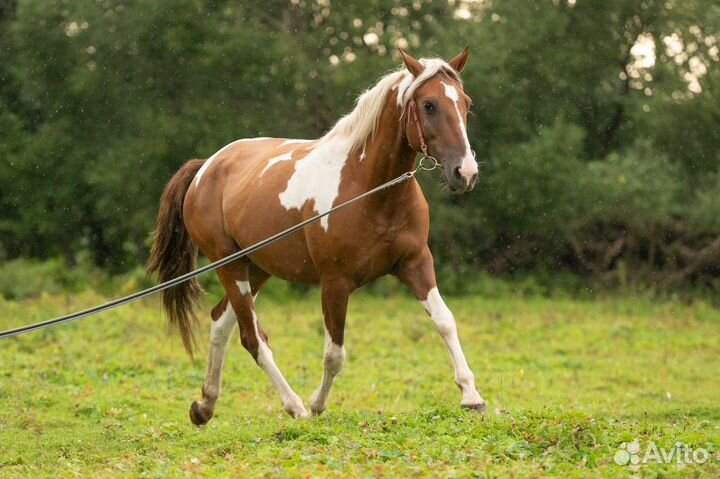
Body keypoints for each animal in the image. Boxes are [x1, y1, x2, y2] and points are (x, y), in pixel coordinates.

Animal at [146, 47, 484, 424]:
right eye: (429, 105)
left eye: (466, 103)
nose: (465, 172)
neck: (370, 189)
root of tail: (205, 168)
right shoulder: (335, 282)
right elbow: (334, 353)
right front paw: (317, 405)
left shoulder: (416, 264)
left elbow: (445, 321)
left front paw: (471, 396)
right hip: (229, 267)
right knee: (252, 338)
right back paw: (294, 406)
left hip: (255, 268)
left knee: (221, 323)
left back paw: (205, 405)